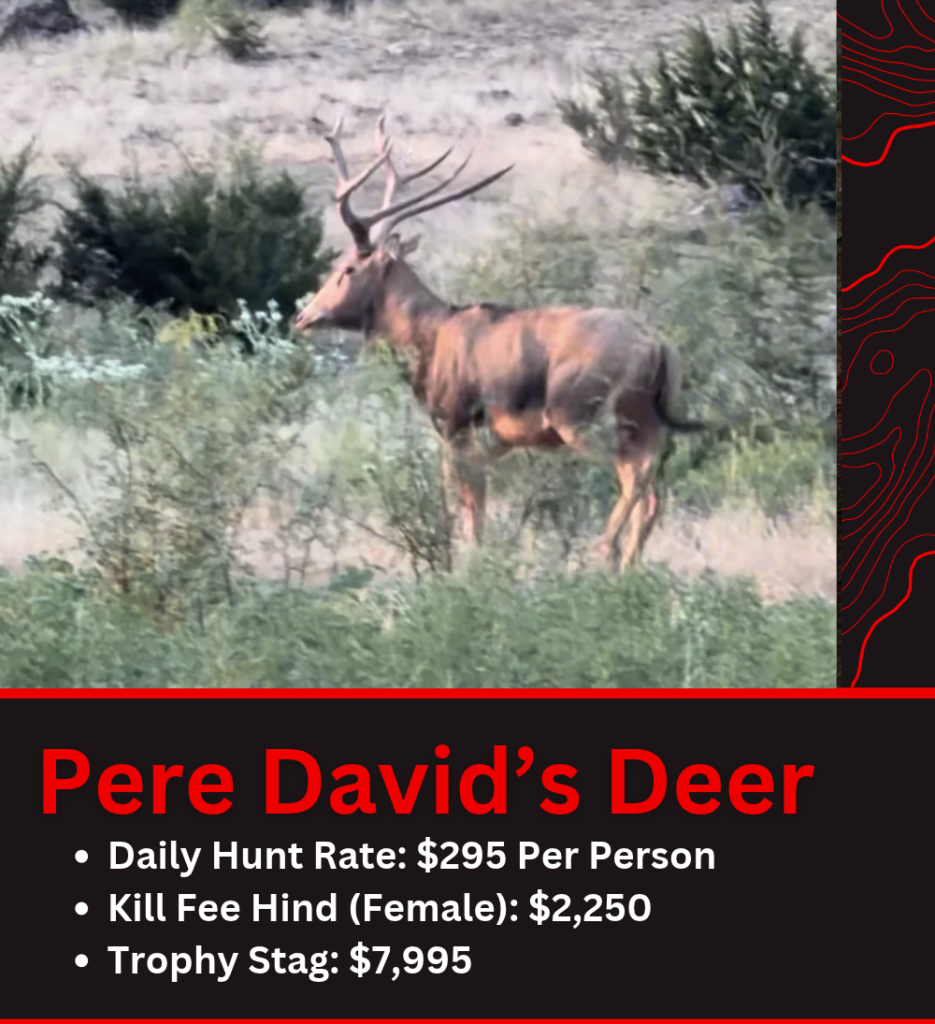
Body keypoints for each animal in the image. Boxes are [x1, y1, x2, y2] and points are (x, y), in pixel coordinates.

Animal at [295, 116, 703, 569]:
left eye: (348, 268)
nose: (303, 316)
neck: (430, 335)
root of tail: (660, 348)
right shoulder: (489, 446)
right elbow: (479, 511)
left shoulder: (455, 428)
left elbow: (466, 514)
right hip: (646, 422)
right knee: (652, 494)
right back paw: (629, 567)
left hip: (582, 417)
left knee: (636, 475)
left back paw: (603, 551)